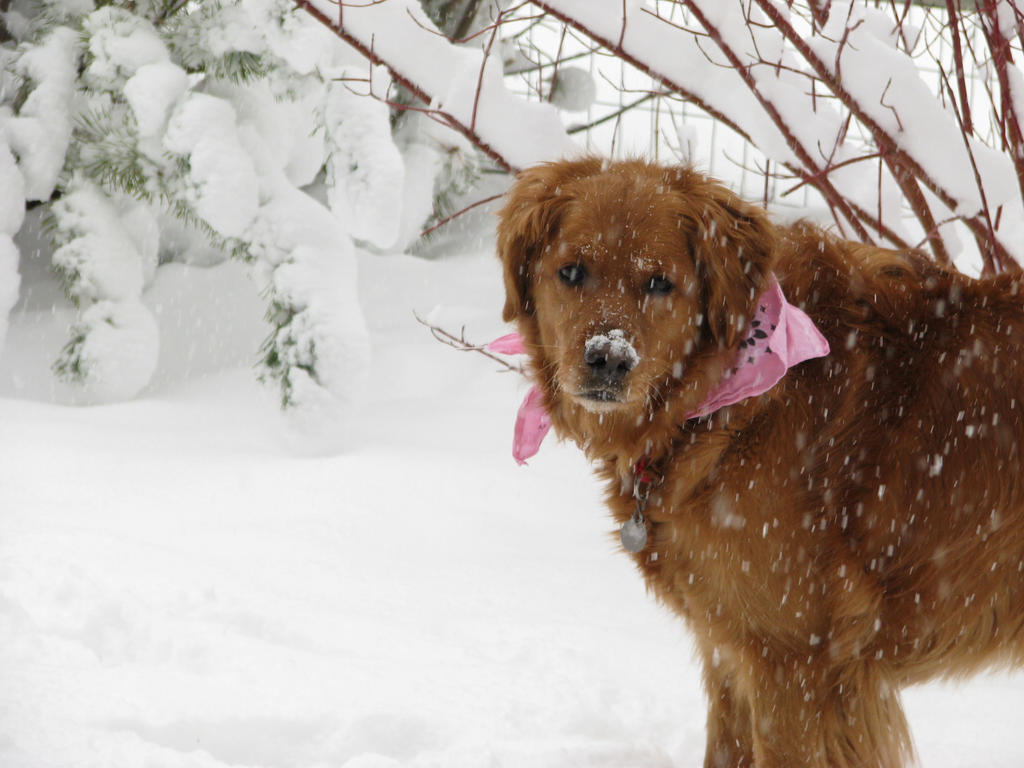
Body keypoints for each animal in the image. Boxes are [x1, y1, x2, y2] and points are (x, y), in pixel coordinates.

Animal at [493, 154, 1024, 768]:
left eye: (659, 283)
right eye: (572, 272)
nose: (609, 359)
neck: (721, 407)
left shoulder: (792, 658)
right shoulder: (728, 649)